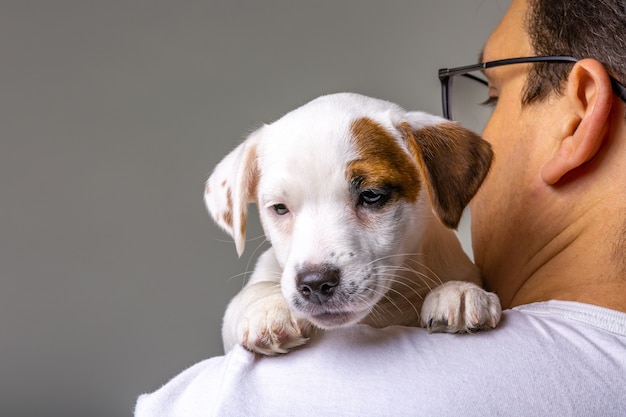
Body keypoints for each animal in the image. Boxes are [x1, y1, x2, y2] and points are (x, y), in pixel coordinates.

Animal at [204, 92, 498, 352]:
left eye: (371, 195)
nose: (315, 283)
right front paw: (268, 307)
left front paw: (458, 291)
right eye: (279, 208)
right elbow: (252, 292)